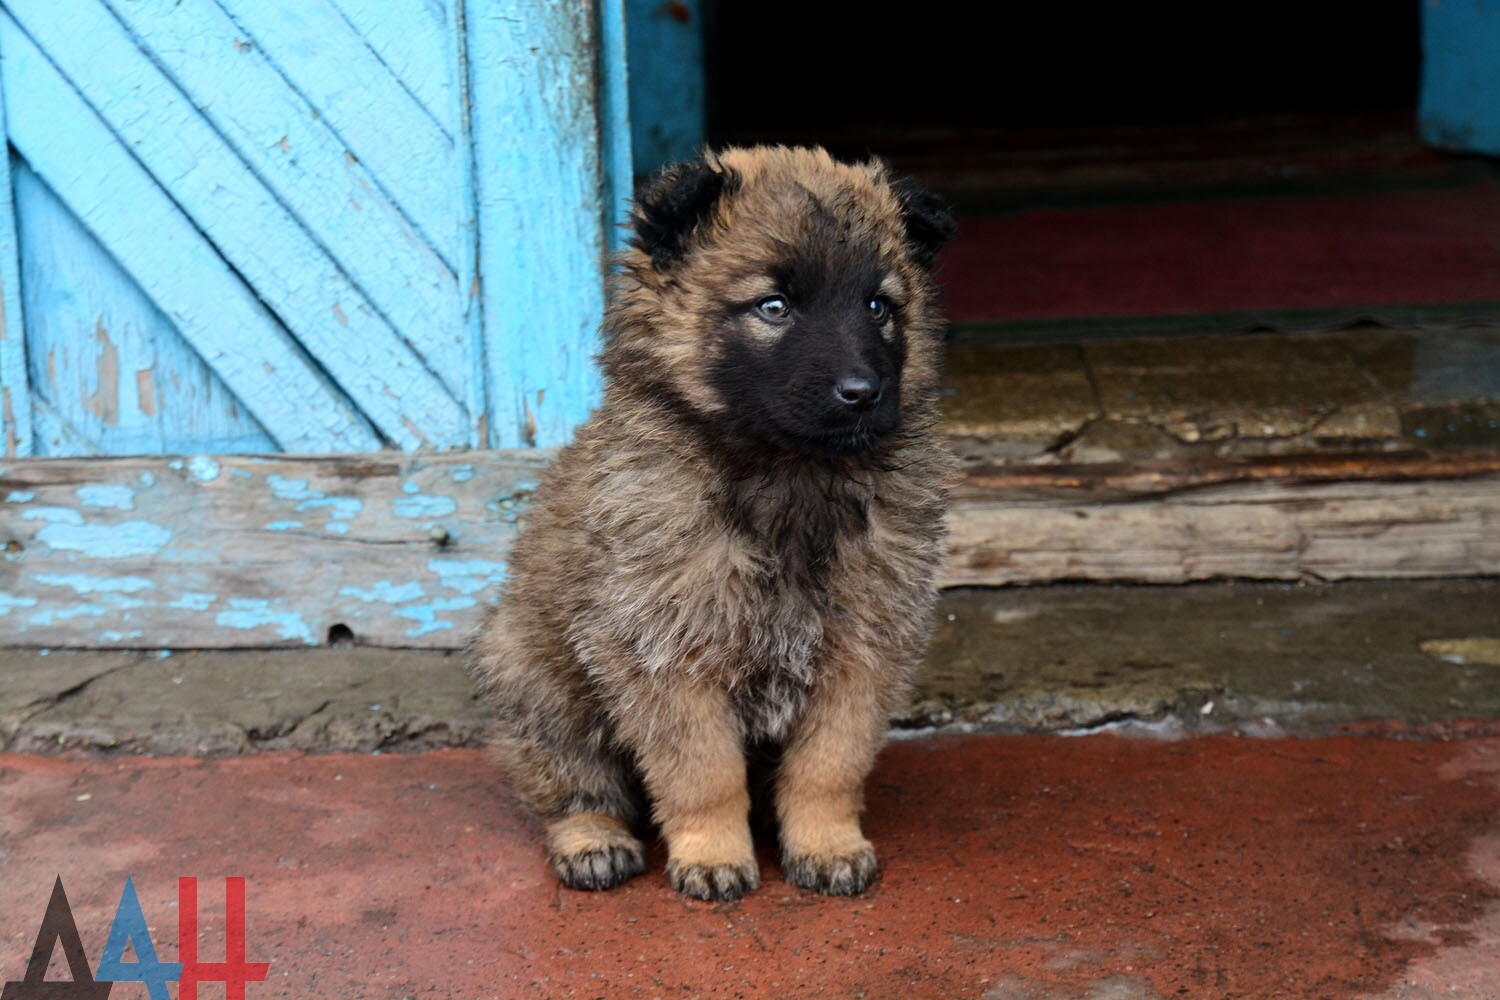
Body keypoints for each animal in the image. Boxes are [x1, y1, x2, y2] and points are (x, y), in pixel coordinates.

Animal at [471, 144, 960, 905]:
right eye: (773, 306)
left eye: (879, 306)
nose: (862, 393)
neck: (787, 474)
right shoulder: (665, 656)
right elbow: (704, 774)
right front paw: (712, 854)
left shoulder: (863, 651)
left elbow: (828, 766)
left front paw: (826, 844)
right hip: (540, 683)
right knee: (574, 783)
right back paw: (592, 841)